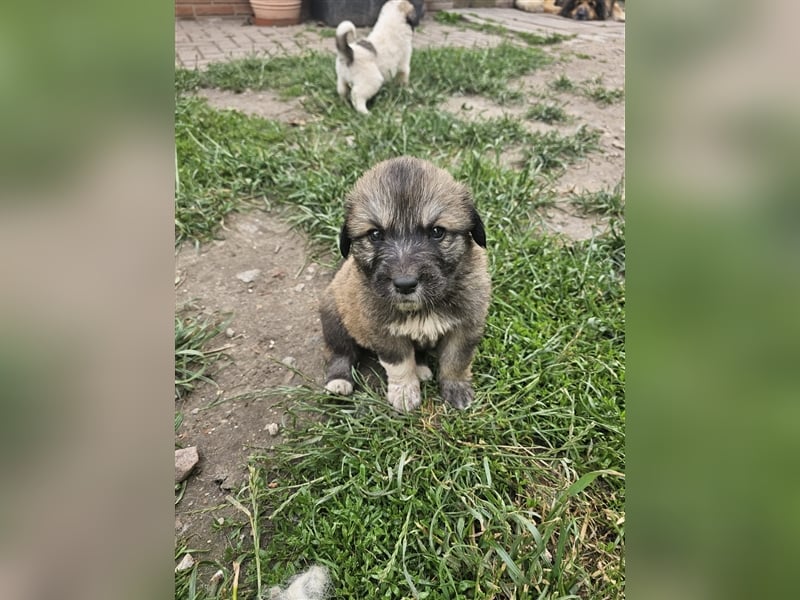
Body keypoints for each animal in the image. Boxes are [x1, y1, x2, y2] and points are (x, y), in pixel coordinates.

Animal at [318, 156, 488, 412]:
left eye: (437, 231)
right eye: (375, 234)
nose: (405, 285)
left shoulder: (466, 325)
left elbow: (456, 360)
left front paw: (456, 388)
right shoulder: (384, 332)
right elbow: (399, 364)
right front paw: (405, 393)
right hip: (334, 318)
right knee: (340, 352)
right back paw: (339, 381)